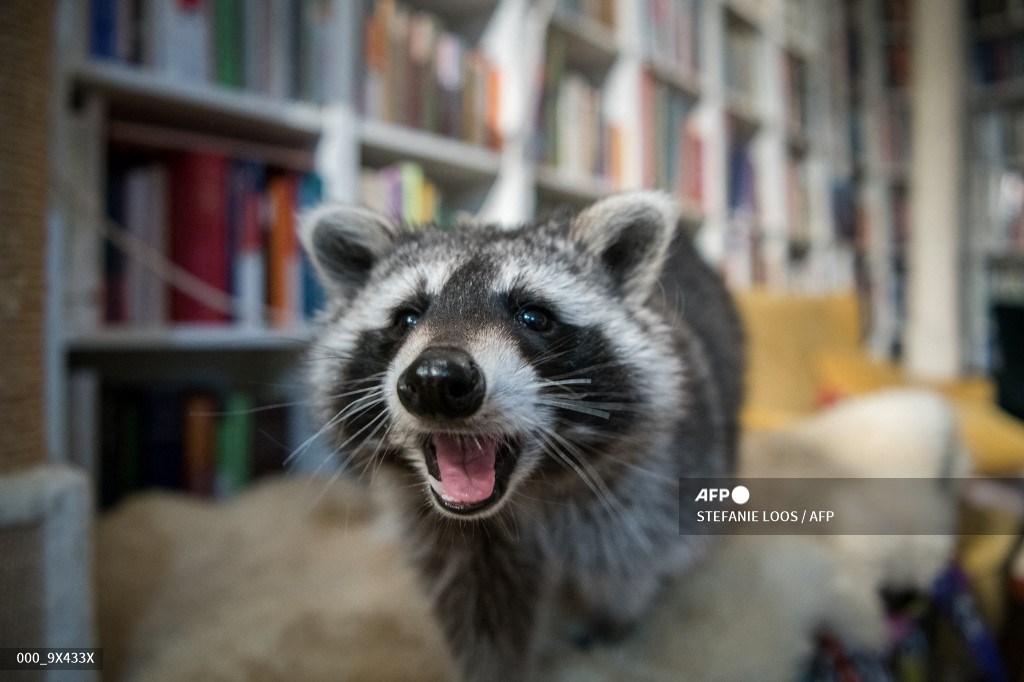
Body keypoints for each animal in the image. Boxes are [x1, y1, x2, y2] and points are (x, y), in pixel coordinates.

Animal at [300, 192, 744, 681]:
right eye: (408, 317)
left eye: (533, 315)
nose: (436, 379)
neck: (525, 493)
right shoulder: (457, 538)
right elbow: (481, 614)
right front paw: (492, 669)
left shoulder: (647, 484)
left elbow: (629, 561)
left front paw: (612, 624)